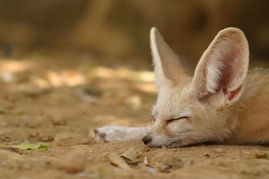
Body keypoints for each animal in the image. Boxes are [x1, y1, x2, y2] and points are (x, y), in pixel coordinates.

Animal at [92, 26, 268, 147]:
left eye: (175, 120)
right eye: (153, 117)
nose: (145, 140)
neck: (244, 109)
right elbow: (145, 127)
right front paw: (115, 131)